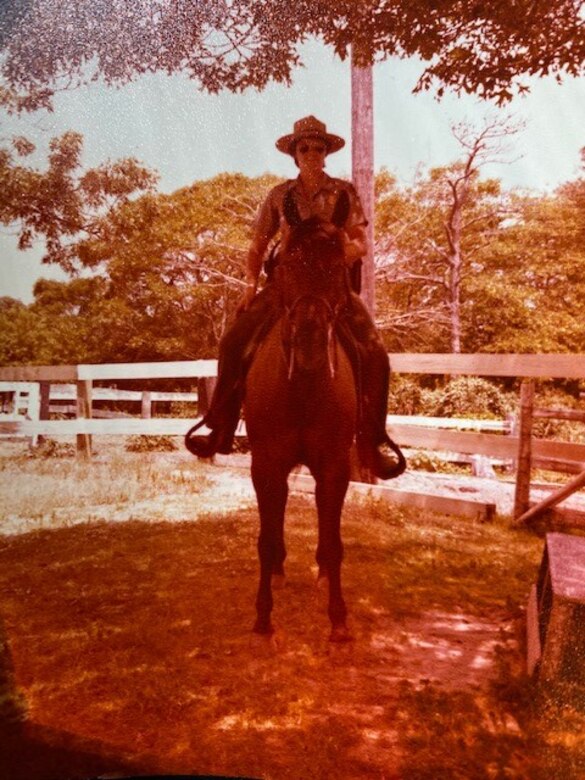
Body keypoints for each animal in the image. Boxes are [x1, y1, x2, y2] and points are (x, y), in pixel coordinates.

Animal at [242, 192, 356, 644]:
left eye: (340, 266)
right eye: (284, 264)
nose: (308, 349)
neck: (304, 390)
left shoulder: (335, 468)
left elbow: (336, 542)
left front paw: (338, 619)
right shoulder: (265, 463)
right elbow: (263, 537)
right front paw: (262, 615)